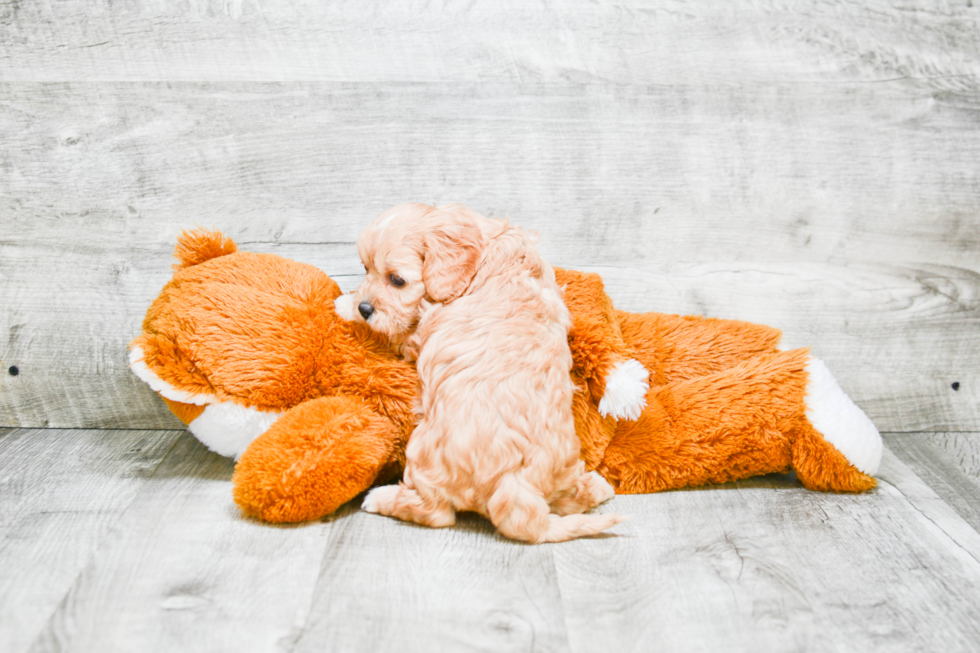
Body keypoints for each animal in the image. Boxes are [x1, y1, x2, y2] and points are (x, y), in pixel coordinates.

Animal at [340, 202, 624, 540]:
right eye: (365, 268)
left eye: (396, 280)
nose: (364, 308)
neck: (486, 245)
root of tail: (515, 486)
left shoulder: (421, 329)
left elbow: (398, 335)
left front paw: (346, 308)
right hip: (563, 468)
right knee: (569, 499)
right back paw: (598, 486)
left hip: (424, 452)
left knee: (436, 513)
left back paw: (381, 498)